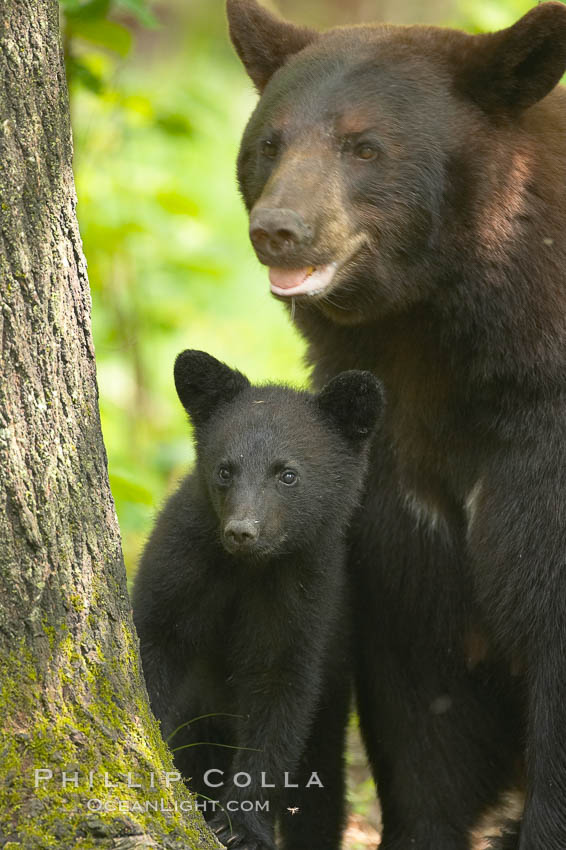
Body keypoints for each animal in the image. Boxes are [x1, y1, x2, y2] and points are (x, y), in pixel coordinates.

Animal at [132, 348, 382, 844]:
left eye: (287, 474)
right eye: (225, 470)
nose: (241, 531)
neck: (248, 569)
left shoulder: (303, 594)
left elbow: (279, 696)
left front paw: (242, 826)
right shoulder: (180, 566)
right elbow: (155, 646)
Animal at [229, 1, 566, 848]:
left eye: (364, 145)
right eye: (271, 140)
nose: (277, 228)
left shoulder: (543, 454)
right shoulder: (394, 483)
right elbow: (422, 694)